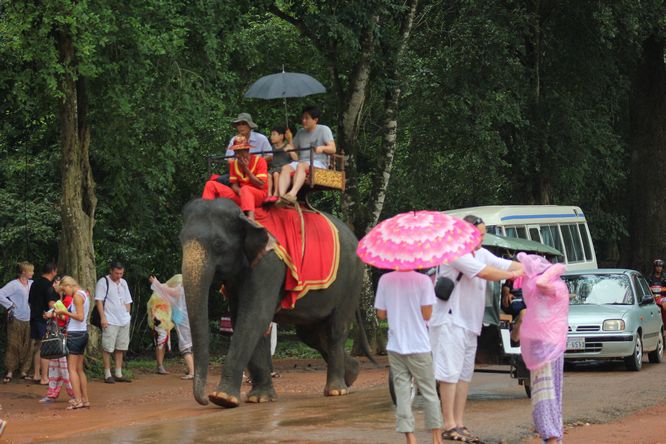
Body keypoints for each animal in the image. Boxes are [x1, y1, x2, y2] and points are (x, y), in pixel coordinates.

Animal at [180, 199, 368, 408]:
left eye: (218, 244)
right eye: (180, 241)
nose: (204, 399)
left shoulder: (269, 265)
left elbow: (255, 316)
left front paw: (223, 398)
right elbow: (247, 320)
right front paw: (259, 398)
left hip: (352, 281)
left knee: (335, 330)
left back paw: (336, 390)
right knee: (310, 335)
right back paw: (352, 373)